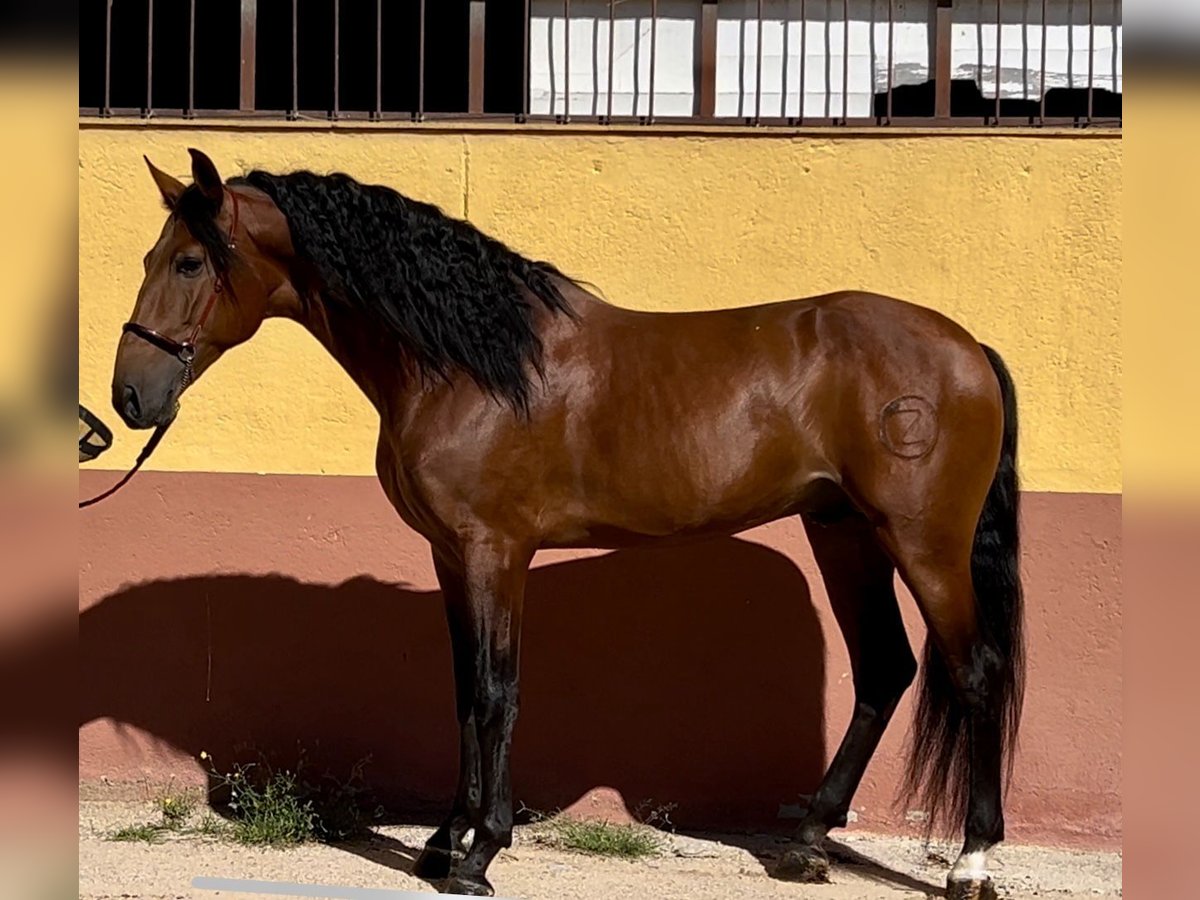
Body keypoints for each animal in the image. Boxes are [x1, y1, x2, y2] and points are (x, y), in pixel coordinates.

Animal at [105, 150, 1022, 900]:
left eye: (189, 261)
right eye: (149, 257)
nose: (129, 398)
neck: (471, 362)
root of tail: (967, 346)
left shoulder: (495, 551)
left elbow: (497, 691)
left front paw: (479, 855)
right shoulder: (450, 557)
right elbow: (462, 692)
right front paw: (444, 840)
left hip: (924, 543)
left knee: (974, 671)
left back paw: (971, 863)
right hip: (844, 534)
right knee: (884, 670)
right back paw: (806, 842)